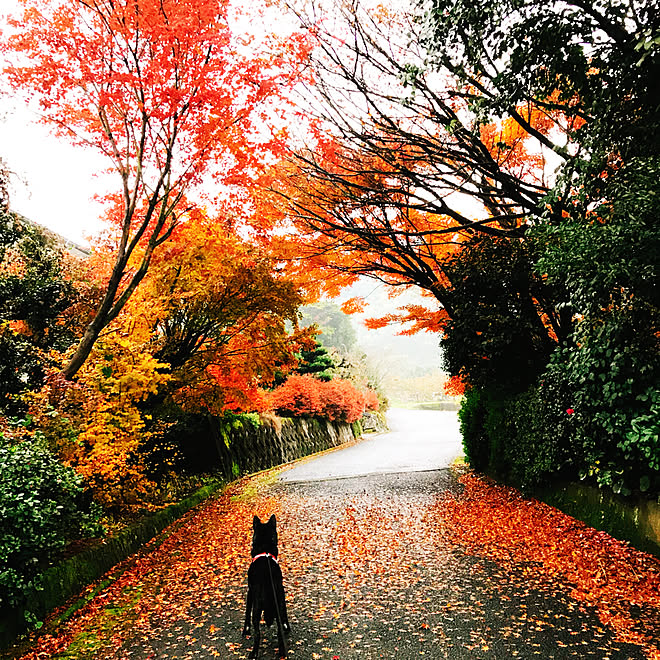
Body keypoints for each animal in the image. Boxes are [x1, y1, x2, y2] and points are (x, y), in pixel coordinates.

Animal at [244, 516, 290, 660]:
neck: (265, 550)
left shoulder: (250, 592)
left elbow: (246, 613)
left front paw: (245, 630)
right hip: (280, 602)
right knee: (280, 630)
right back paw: (282, 652)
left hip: (257, 608)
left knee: (257, 633)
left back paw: (254, 653)